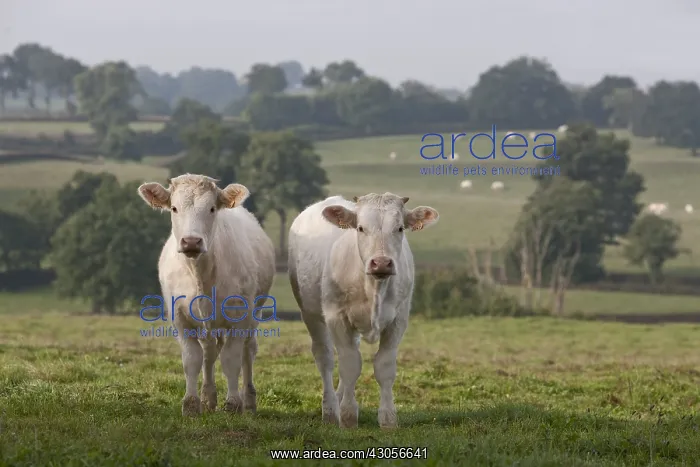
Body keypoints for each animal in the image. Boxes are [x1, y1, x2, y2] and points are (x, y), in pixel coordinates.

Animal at [137, 174, 275, 417]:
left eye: (212, 208)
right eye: (174, 208)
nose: (191, 241)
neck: (200, 275)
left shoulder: (240, 316)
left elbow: (231, 360)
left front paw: (233, 403)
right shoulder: (180, 318)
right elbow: (192, 360)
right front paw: (192, 404)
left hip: (254, 312)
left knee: (247, 351)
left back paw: (248, 400)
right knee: (210, 352)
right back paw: (208, 398)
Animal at [288, 193, 439, 428]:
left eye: (400, 228)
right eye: (360, 228)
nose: (382, 263)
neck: (374, 288)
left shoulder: (398, 320)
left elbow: (384, 366)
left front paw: (388, 418)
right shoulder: (337, 317)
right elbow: (350, 364)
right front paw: (348, 416)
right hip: (310, 313)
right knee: (325, 357)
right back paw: (330, 410)